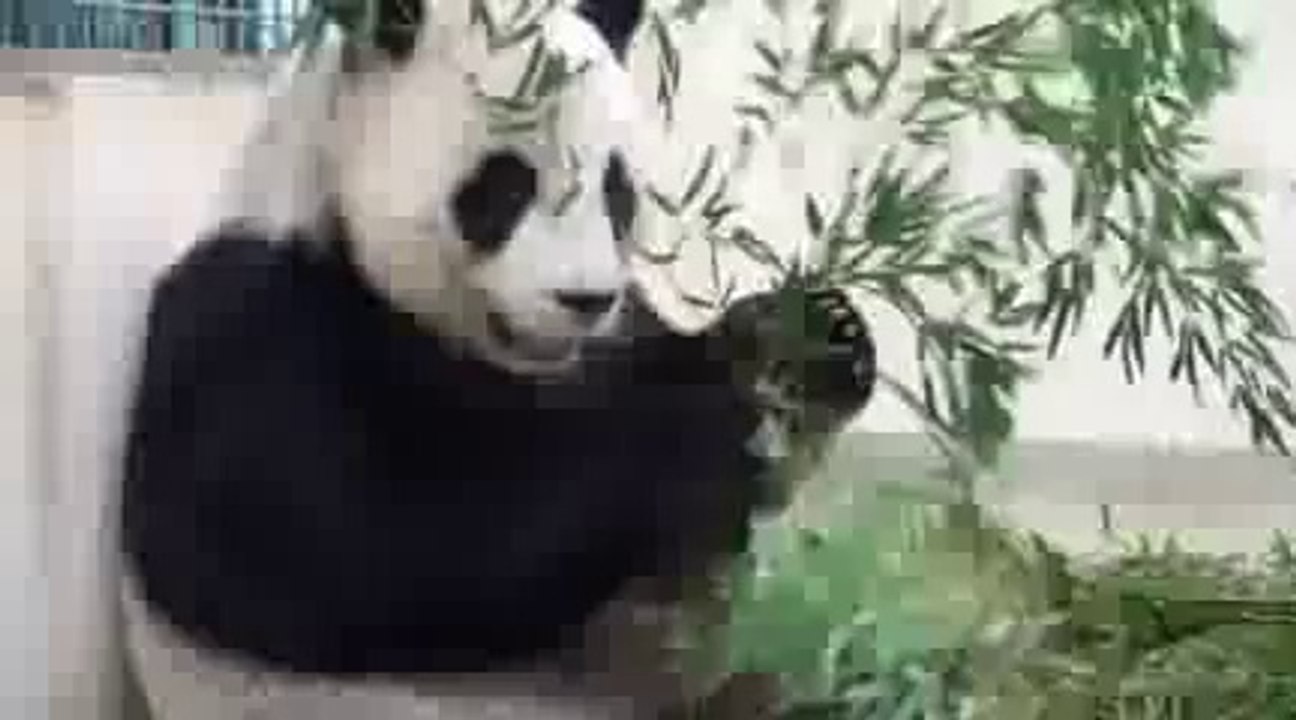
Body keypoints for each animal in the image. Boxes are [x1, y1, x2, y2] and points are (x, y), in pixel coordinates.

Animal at [116, 0, 876, 718]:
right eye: (506, 185)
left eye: (616, 188)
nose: (584, 299)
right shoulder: (253, 330)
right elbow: (369, 555)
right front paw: (698, 430)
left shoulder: (621, 332)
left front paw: (812, 336)